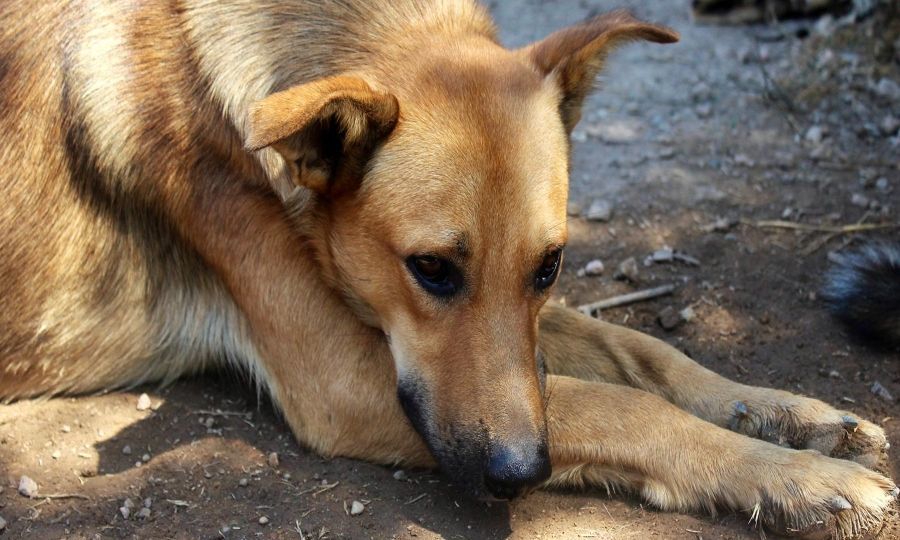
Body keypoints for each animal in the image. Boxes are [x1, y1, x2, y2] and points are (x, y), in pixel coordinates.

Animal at [0, 2, 896, 536]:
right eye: (429, 268)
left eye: (550, 266)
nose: (520, 474)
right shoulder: (347, 384)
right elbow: (618, 404)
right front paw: (800, 478)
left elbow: (644, 352)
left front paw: (785, 414)